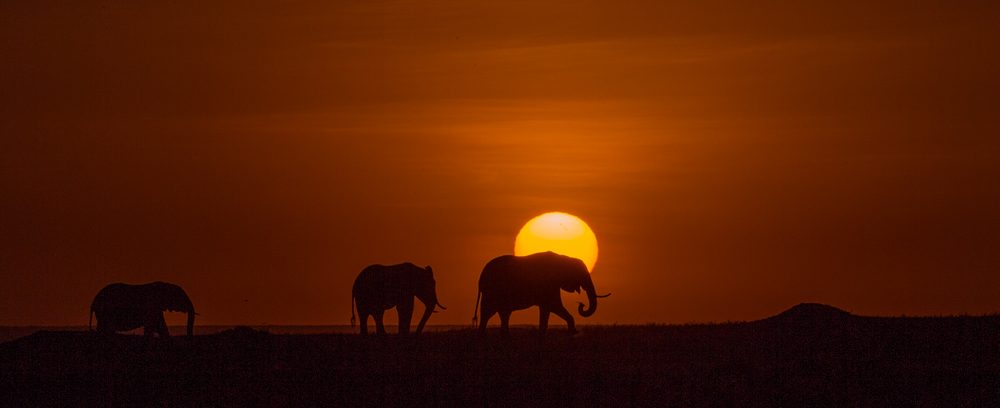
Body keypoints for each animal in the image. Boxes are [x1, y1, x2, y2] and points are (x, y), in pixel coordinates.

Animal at [473, 251, 609, 336]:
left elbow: (548, 309)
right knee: (489, 312)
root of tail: (481, 277)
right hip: (492, 291)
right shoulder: (548, 284)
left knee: (502, 313)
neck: (563, 258)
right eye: (582, 274)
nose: (581, 304)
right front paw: (573, 333)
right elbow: (554, 306)